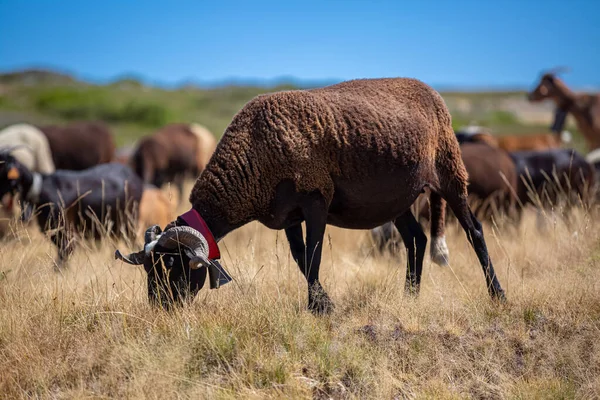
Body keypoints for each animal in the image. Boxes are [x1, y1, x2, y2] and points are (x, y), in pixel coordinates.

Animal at [115, 76, 504, 310]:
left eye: (172, 265)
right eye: (149, 267)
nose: (160, 309)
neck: (253, 149)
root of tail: (429, 89)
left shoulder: (316, 198)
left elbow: (314, 255)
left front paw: (316, 308)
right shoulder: (286, 214)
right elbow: (301, 259)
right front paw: (324, 304)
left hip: (450, 171)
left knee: (474, 231)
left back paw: (496, 294)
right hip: (397, 198)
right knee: (416, 240)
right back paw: (409, 297)